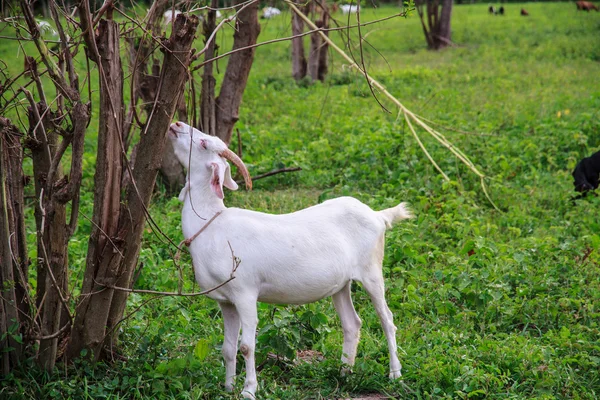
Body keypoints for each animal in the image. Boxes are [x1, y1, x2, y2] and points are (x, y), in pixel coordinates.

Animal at [169, 122, 412, 400]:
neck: (211, 224)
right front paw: (228, 387)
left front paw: (248, 390)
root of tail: (378, 215)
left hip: (372, 271)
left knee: (387, 320)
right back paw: (344, 374)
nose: (176, 124)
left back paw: (394, 374)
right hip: (341, 285)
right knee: (352, 323)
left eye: (203, 143)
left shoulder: (245, 293)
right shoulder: (226, 301)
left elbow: (246, 346)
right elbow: (228, 348)